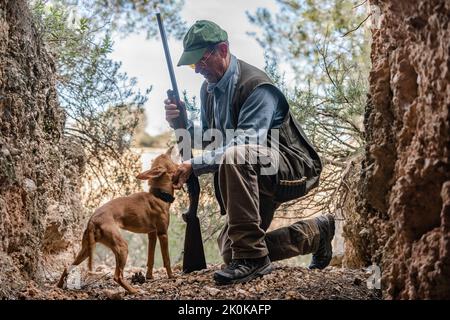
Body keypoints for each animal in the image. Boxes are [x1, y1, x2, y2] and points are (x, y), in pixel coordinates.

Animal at [57, 148, 179, 292]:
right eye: (166, 157)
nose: (171, 148)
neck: (158, 195)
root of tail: (93, 220)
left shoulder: (152, 234)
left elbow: (150, 259)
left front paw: (149, 277)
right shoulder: (162, 233)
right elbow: (167, 259)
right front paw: (171, 277)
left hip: (86, 249)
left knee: (67, 268)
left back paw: (59, 286)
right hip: (122, 247)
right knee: (117, 276)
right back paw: (133, 291)